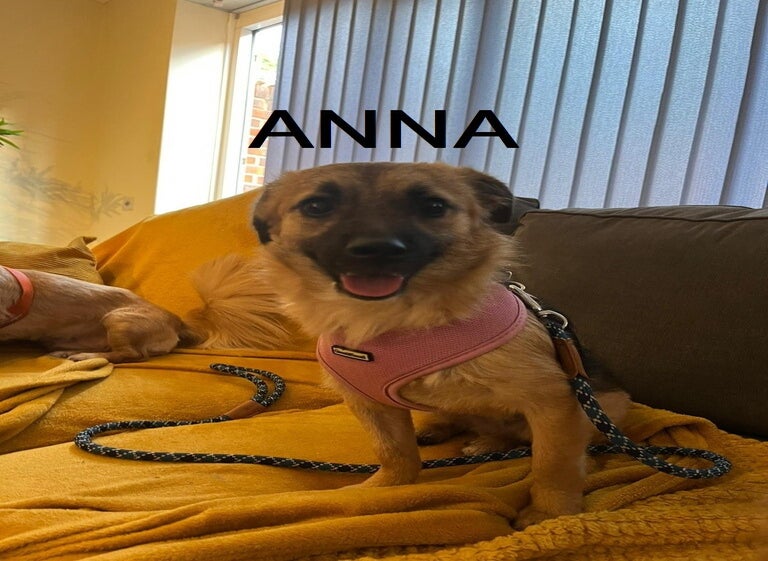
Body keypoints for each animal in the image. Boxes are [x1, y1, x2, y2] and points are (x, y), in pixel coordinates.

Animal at [252, 162, 630, 528]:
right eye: (316, 206)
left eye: (433, 206)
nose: (377, 249)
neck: (395, 322)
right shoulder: (369, 403)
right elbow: (394, 453)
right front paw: (383, 489)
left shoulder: (553, 403)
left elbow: (553, 464)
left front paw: (551, 512)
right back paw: (440, 428)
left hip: (605, 407)